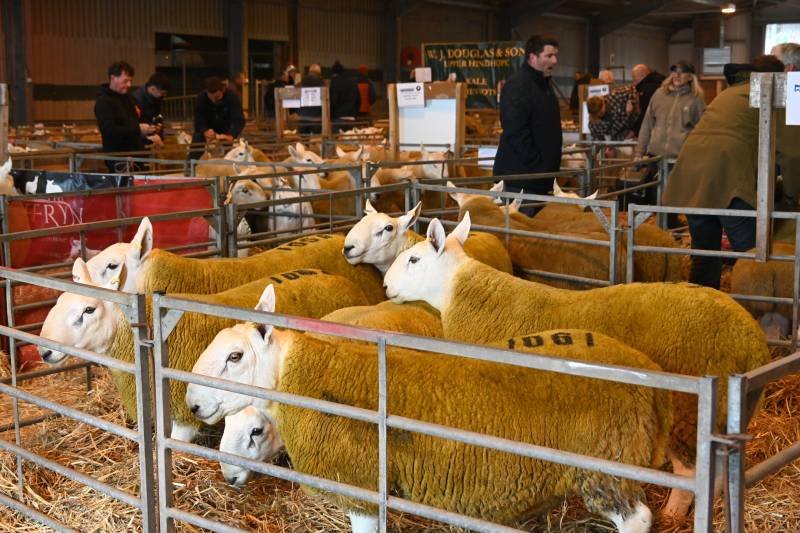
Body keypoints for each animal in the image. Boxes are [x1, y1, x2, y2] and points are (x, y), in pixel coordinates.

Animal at [187, 286, 667, 533]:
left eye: (234, 357)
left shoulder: (359, 481)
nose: (192, 403)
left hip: (608, 463)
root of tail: (642, 366)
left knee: (640, 518)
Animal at [383, 214, 770, 518]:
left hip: (687, 409)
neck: (461, 294)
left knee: (690, 472)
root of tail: (751, 341)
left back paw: (674, 512)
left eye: (414, 259)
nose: (385, 286)